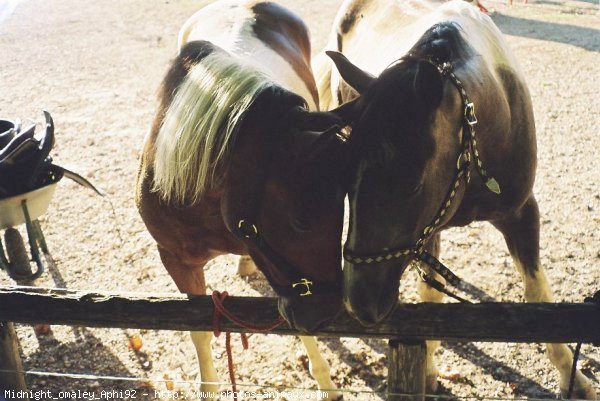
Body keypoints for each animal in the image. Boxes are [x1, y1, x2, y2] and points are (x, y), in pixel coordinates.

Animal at [316, 0, 596, 396]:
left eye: (412, 185)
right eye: (344, 177)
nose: (359, 304)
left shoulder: (522, 212)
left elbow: (537, 295)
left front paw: (575, 380)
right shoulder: (429, 230)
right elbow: (430, 298)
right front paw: (429, 369)